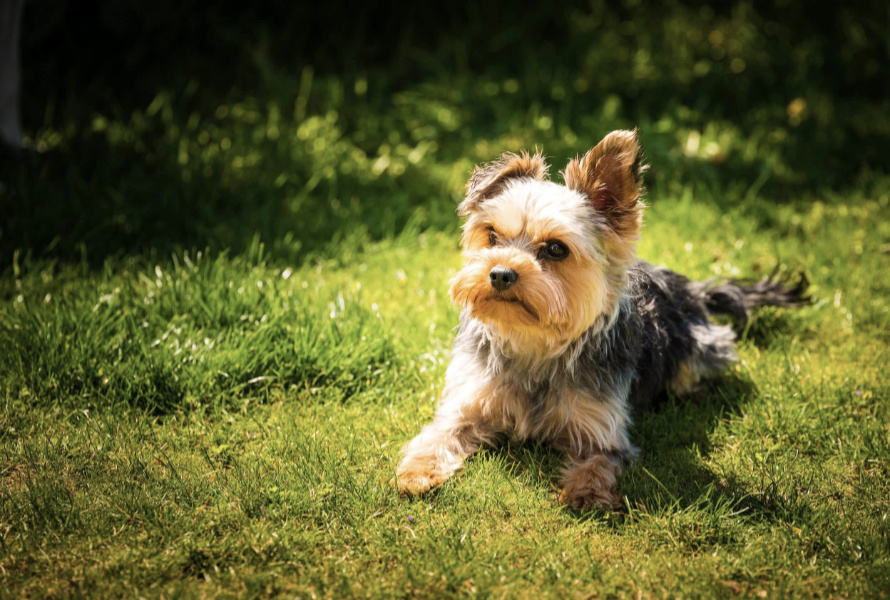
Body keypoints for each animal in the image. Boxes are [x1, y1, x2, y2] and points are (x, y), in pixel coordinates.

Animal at [396, 129, 804, 508]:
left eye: (556, 249)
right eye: (492, 236)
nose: (499, 274)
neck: (533, 340)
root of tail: (694, 290)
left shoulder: (604, 431)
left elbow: (599, 461)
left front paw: (587, 493)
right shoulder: (467, 402)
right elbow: (438, 433)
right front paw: (417, 472)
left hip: (701, 344)